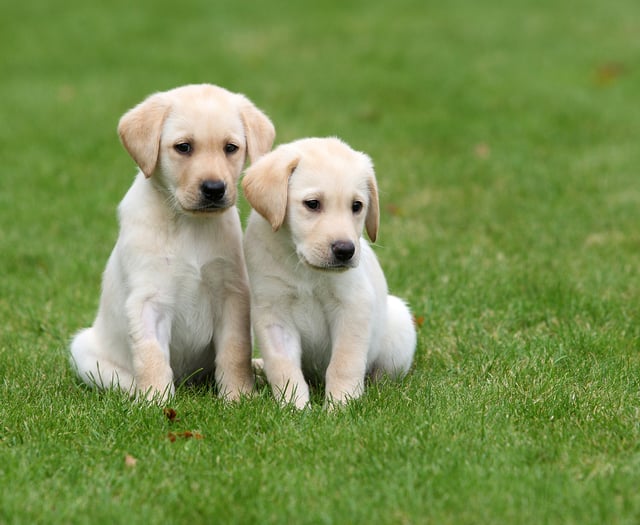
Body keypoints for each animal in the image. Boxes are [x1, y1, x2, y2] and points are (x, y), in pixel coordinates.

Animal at [70, 84, 276, 400]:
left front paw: (238, 396)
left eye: (231, 147)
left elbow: (235, 351)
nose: (214, 189)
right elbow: (151, 356)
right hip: (83, 351)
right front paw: (155, 400)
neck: (189, 225)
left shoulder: (231, 293)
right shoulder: (148, 300)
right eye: (183, 147)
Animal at [242, 137, 418, 408]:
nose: (345, 250)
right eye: (312, 204)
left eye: (357, 206)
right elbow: (284, 367)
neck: (304, 269)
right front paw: (294, 407)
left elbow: (344, 363)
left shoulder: (353, 306)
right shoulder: (273, 314)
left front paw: (341, 406)